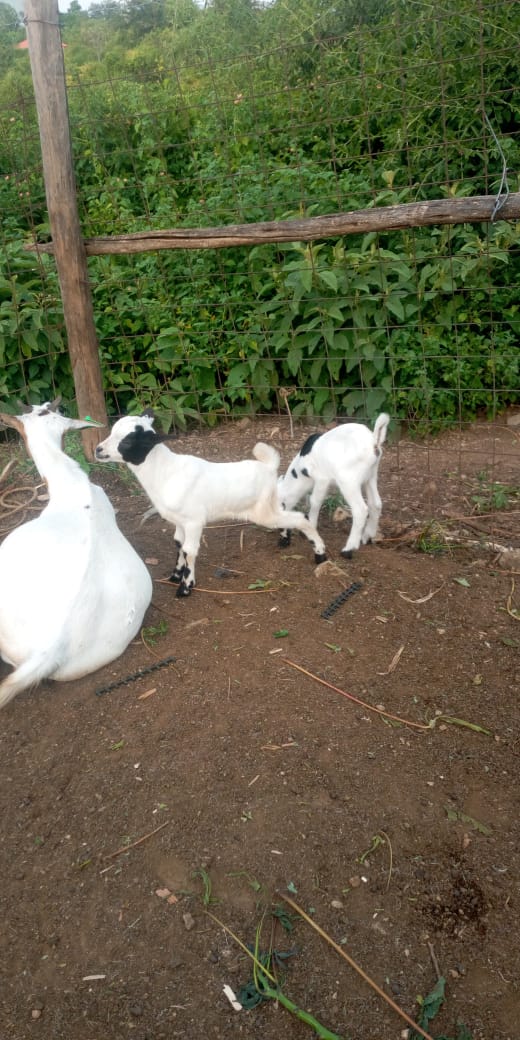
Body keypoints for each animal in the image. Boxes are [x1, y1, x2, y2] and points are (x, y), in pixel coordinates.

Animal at [95, 411, 327, 597]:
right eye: (112, 432)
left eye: (127, 442)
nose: (98, 450)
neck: (165, 472)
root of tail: (268, 467)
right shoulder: (179, 521)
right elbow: (178, 544)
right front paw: (175, 575)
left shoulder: (194, 521)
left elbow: (189, 550)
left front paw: (186, 587)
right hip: (269, 505)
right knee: (290, 514)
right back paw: (286, 539)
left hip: (262, 512)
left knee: (301, 518)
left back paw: (320, 554)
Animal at [278, 413, 390, 558]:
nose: (282, 541)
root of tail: (374, 440)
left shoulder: (321, 479)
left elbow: (315, 501)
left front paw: (310, 527)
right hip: (371, 476)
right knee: (375, 504)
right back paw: (367, 536)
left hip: (348, 480)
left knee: (360, 509)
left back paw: (348, 549)